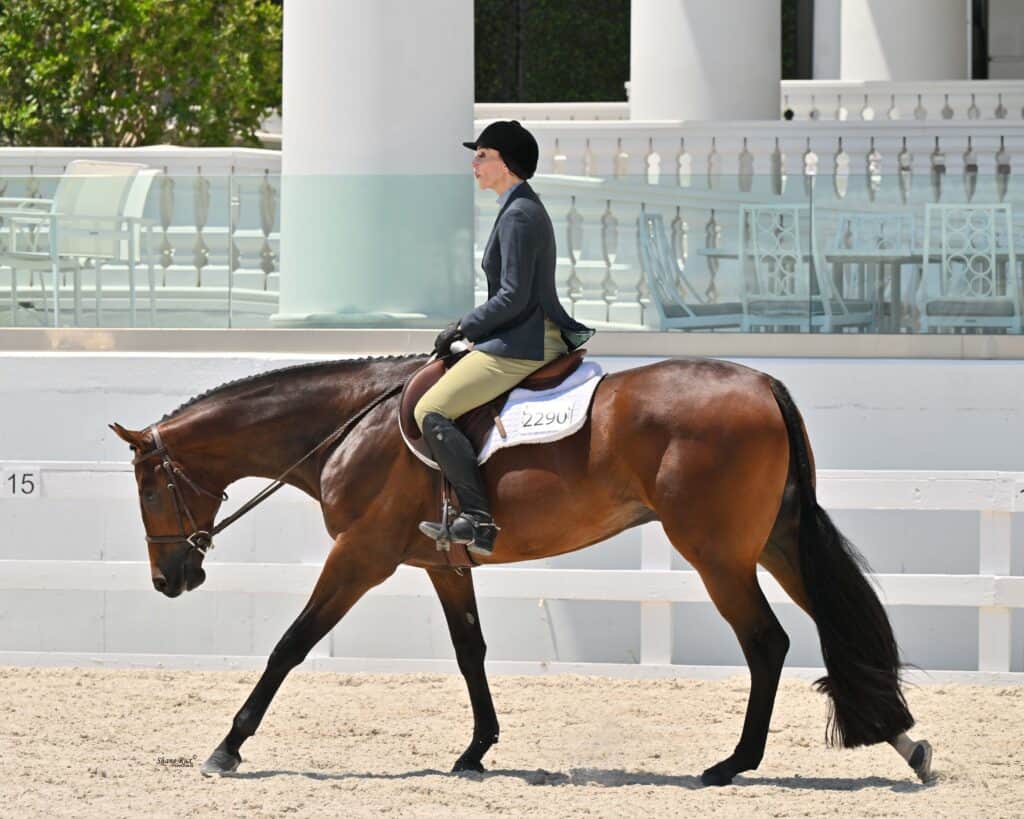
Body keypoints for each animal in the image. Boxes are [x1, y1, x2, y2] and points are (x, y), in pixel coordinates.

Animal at [109, 352, 933, 785]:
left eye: (148, 488)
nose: (168, 580)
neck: (351, 427)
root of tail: (762, 383)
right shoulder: (440, 562)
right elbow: (470, 651)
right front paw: (475, 751)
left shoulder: (361, 556)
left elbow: (289, 645)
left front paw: (228, 746)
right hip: (775, 543)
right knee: (838, 632)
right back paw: (905, 742)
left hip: (717, 554)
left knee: (768, 643)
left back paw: (732, 764)